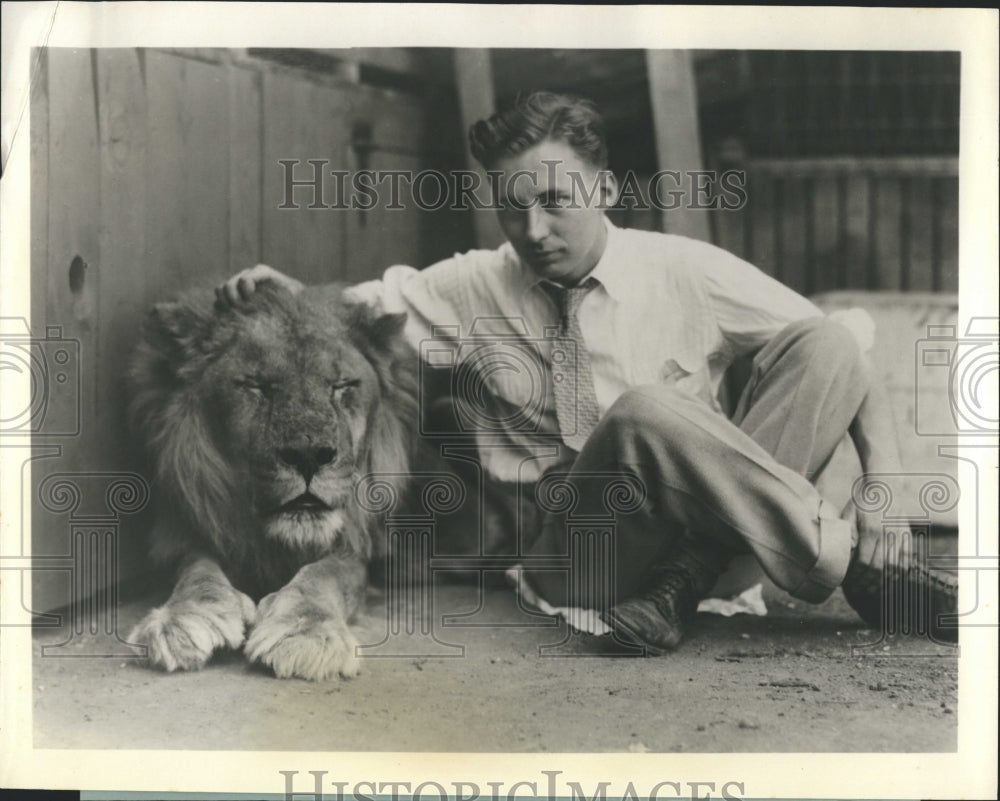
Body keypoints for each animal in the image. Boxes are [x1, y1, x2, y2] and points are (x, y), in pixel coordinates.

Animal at [127, 284, 416, 680]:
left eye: (341, 386)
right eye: (255, 385)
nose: (308, 455)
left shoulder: (357, 550)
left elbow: (326, 574)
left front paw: (306, 633)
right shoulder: (186, 534)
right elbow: (196, 571)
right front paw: (184, 620)